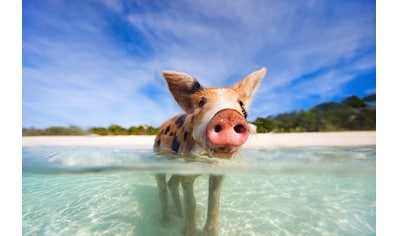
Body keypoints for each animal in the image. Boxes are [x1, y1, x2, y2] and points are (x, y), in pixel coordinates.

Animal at [155, 67, 268, 235]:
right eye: (201, 102)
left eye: (242, 106)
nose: (228, 115)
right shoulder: (187, 168)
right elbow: (192, 204)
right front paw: (188, 233)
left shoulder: (218, 171)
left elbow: (214, 202)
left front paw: (210, 232)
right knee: (162, 186)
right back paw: (165, 223)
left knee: (172, 184)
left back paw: (178, 215)